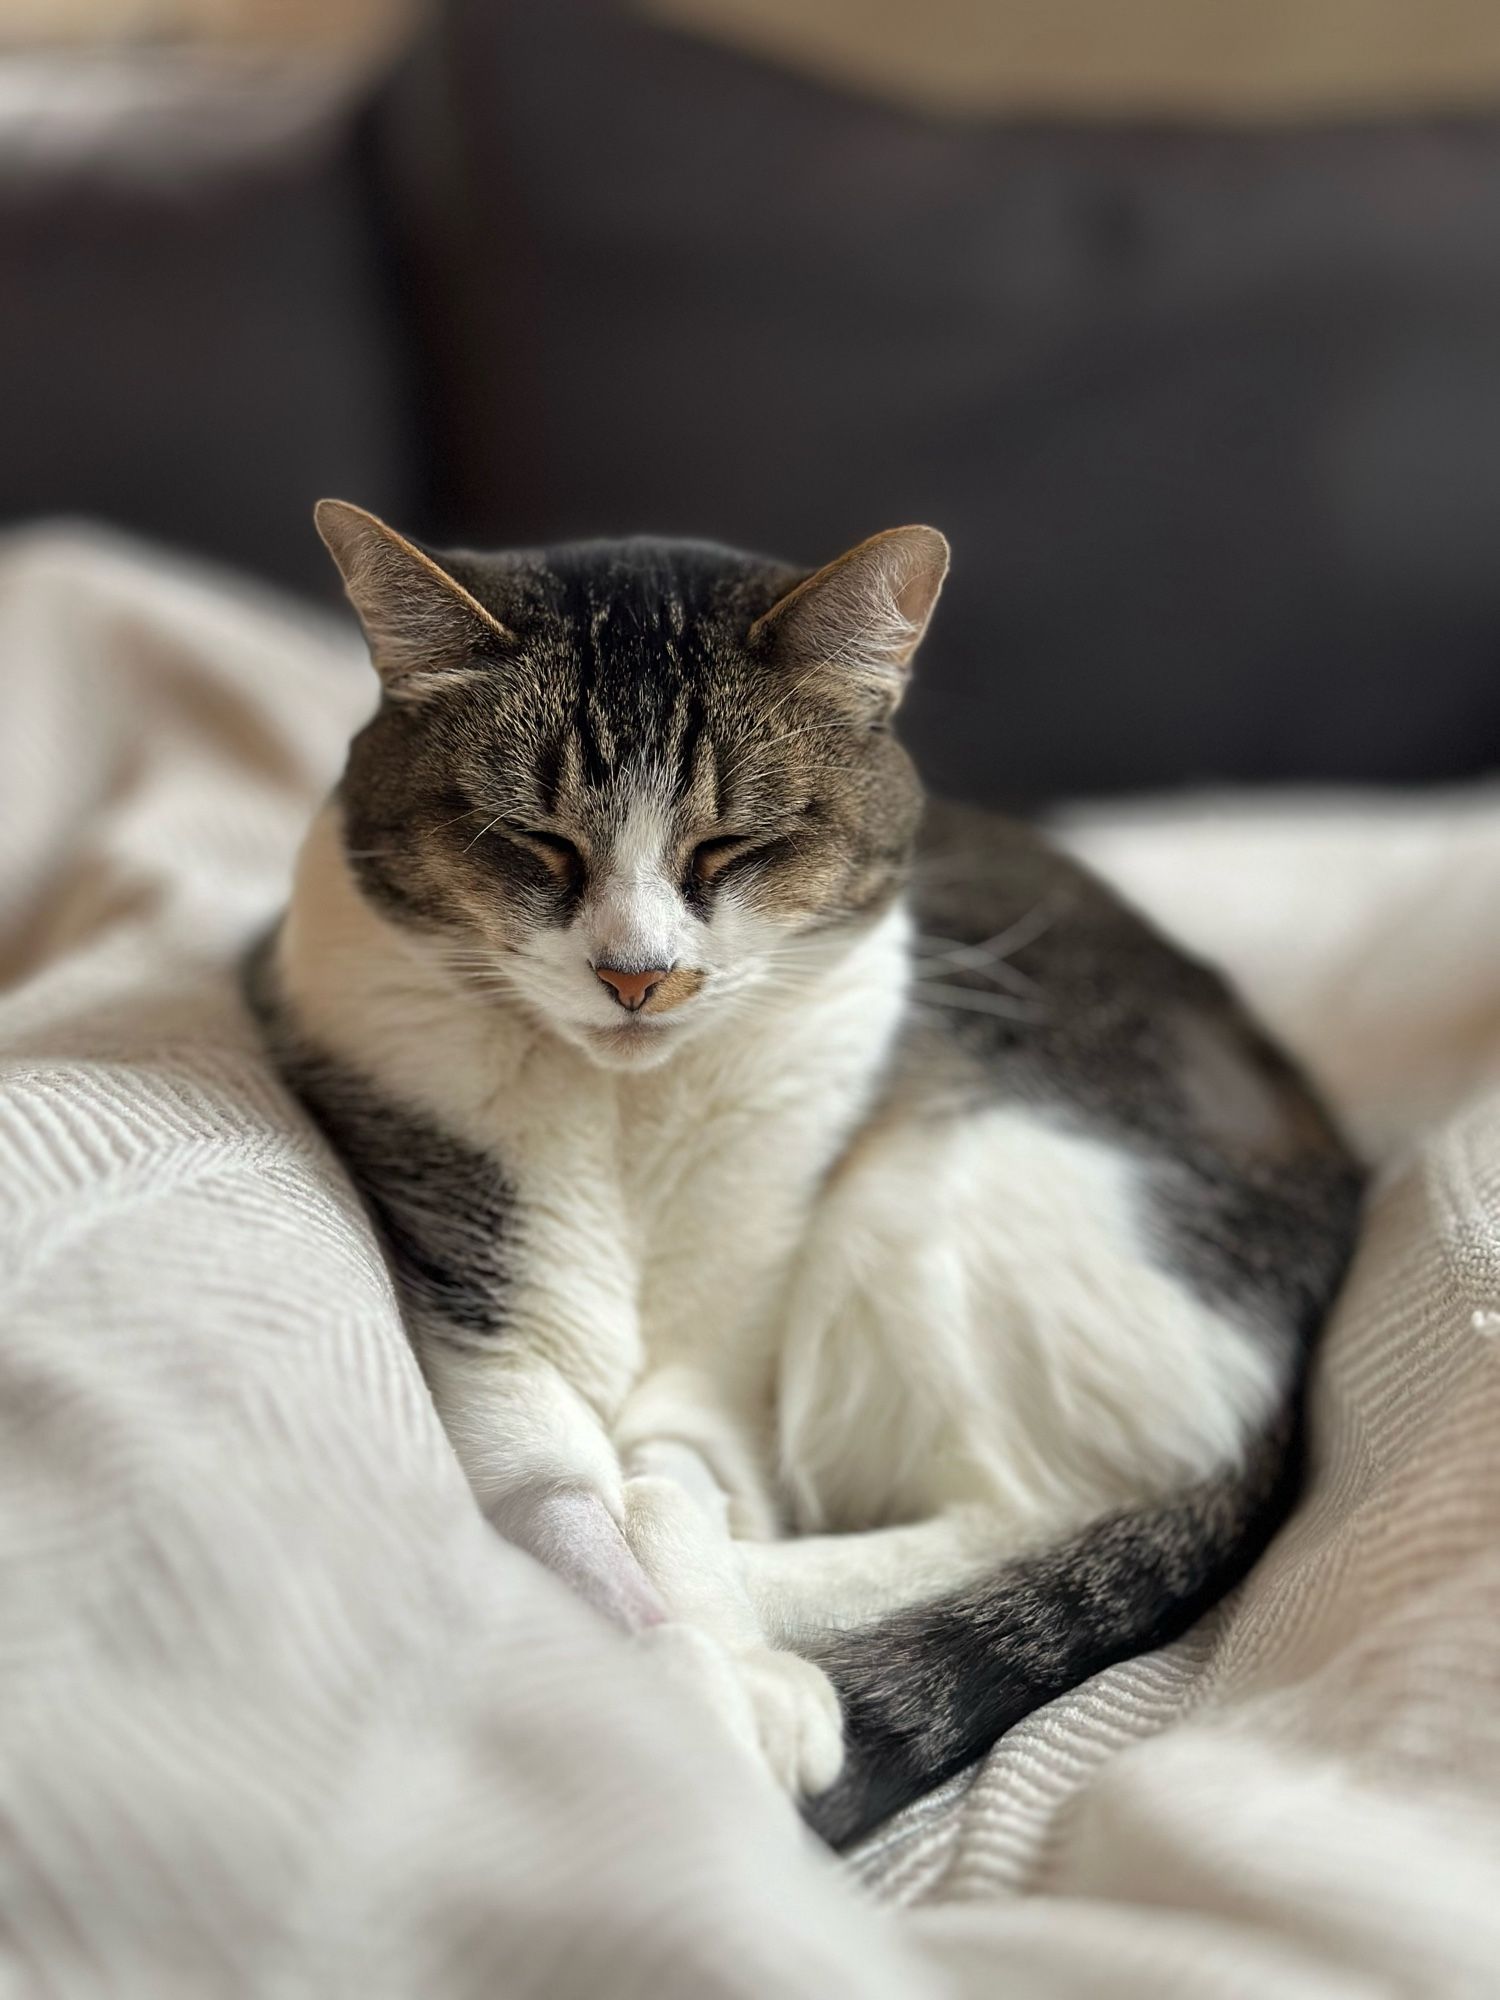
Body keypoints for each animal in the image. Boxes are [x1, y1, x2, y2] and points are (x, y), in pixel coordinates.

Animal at [253, 500, 1368, 1840]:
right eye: (535, 841)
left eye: (734, 844)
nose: (637, 976)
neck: (629, 1107)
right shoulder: (487, 1337)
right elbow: (562, 1504)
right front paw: (689, 1684)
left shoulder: (723, 1359)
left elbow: (679, 1477)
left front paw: (735, 1667)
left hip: (934, 1200)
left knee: (1026, 1501)